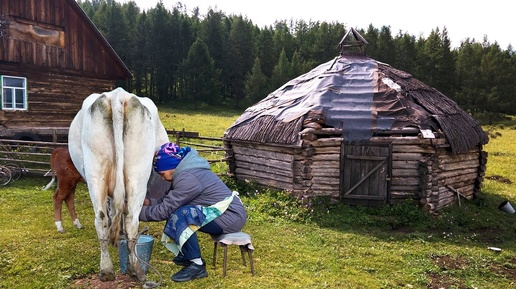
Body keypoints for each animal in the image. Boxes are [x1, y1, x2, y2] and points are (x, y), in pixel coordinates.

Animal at [68, 88, 168, 282]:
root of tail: (118, 95)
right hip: (132, 173)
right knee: (125, 219)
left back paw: (113, 270)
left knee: (106, 218)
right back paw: (129, 270)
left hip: (98, 171)